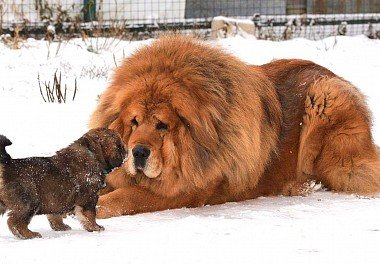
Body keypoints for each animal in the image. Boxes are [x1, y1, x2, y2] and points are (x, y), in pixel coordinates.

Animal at [90, 35, 380, 219]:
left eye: (162, 125)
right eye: (134, 122)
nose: (138, 152)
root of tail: (335, 76)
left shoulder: (186, 191)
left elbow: (127, 196)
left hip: (325, 99)